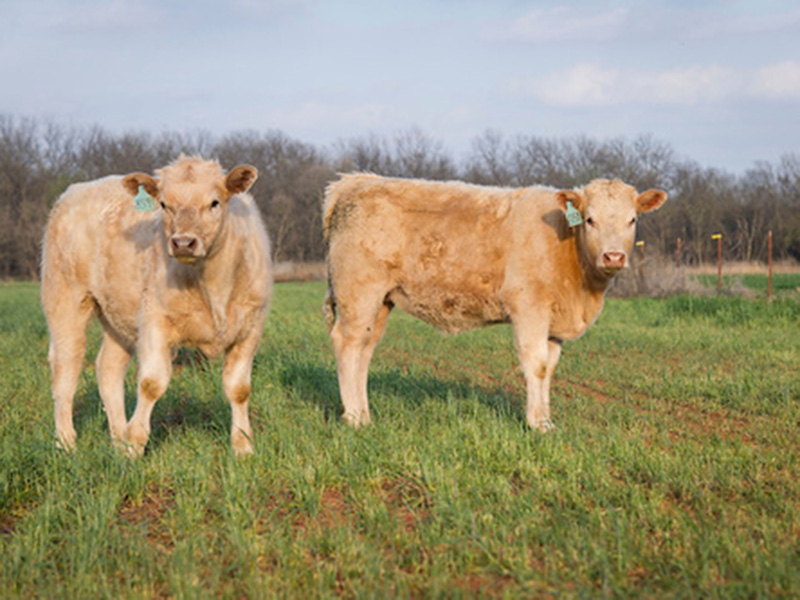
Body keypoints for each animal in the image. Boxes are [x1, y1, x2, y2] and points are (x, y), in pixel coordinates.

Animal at [41, 156, 272, 457]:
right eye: (163, 204)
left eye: (214, 202)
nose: (183, 242)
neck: (213, 289)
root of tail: (76, 190)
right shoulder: (155, 320)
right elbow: (151, 383)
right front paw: (134, 446)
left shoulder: (250, 328)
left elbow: (239, 388)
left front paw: (243, 446)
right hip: (65, 300)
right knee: (65, 368)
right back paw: (66, 442)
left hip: (118, 317)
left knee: (108, 368)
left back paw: (118, 437)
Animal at [323, 174, 666, 430]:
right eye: (590, 220)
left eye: (632, 220)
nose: (614, 257)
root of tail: (354, 182)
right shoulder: (529, 308)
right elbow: (536, 364)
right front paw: (536, 424)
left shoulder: (554, 323)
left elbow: (550, 368)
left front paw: (547, 420)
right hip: (358, 293)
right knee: (346, 343)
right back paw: (353, 418)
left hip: (381, 301)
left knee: (364, 350)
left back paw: (365, 415)